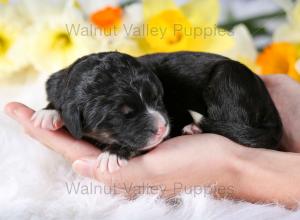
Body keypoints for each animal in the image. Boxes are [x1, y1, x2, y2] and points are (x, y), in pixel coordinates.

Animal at [31, 51, 282, 172]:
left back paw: (195, 128)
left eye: (158, 99)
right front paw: (48, 113)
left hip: (227, 77)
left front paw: (113, 154)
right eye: (125, 114)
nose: (162, 127)